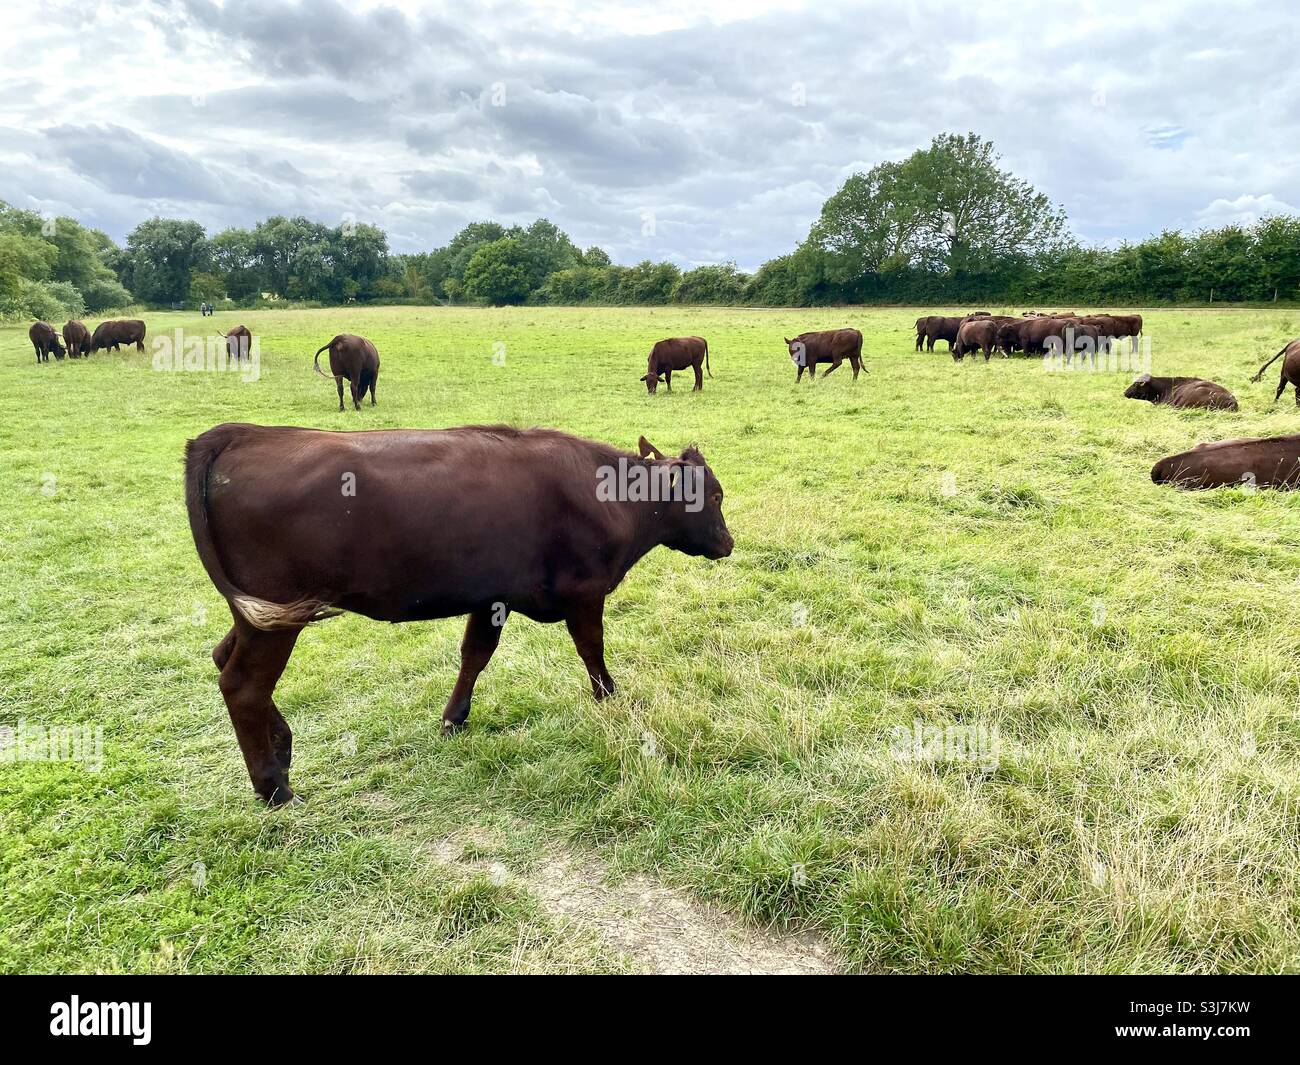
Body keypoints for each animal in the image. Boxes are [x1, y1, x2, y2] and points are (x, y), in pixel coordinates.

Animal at [184, 423, 733, 804]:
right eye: (715, 494)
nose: (728, 543)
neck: (612, 498)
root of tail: (244, 433)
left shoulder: (493, 598)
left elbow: (475, 655)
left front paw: (454, 719)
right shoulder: (584, 593)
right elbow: (591, 649)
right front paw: (610, 699)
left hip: (261, 615)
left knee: (221, 658)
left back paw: (282, 748)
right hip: (274, 619)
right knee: (244, 684)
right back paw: (274, 787)